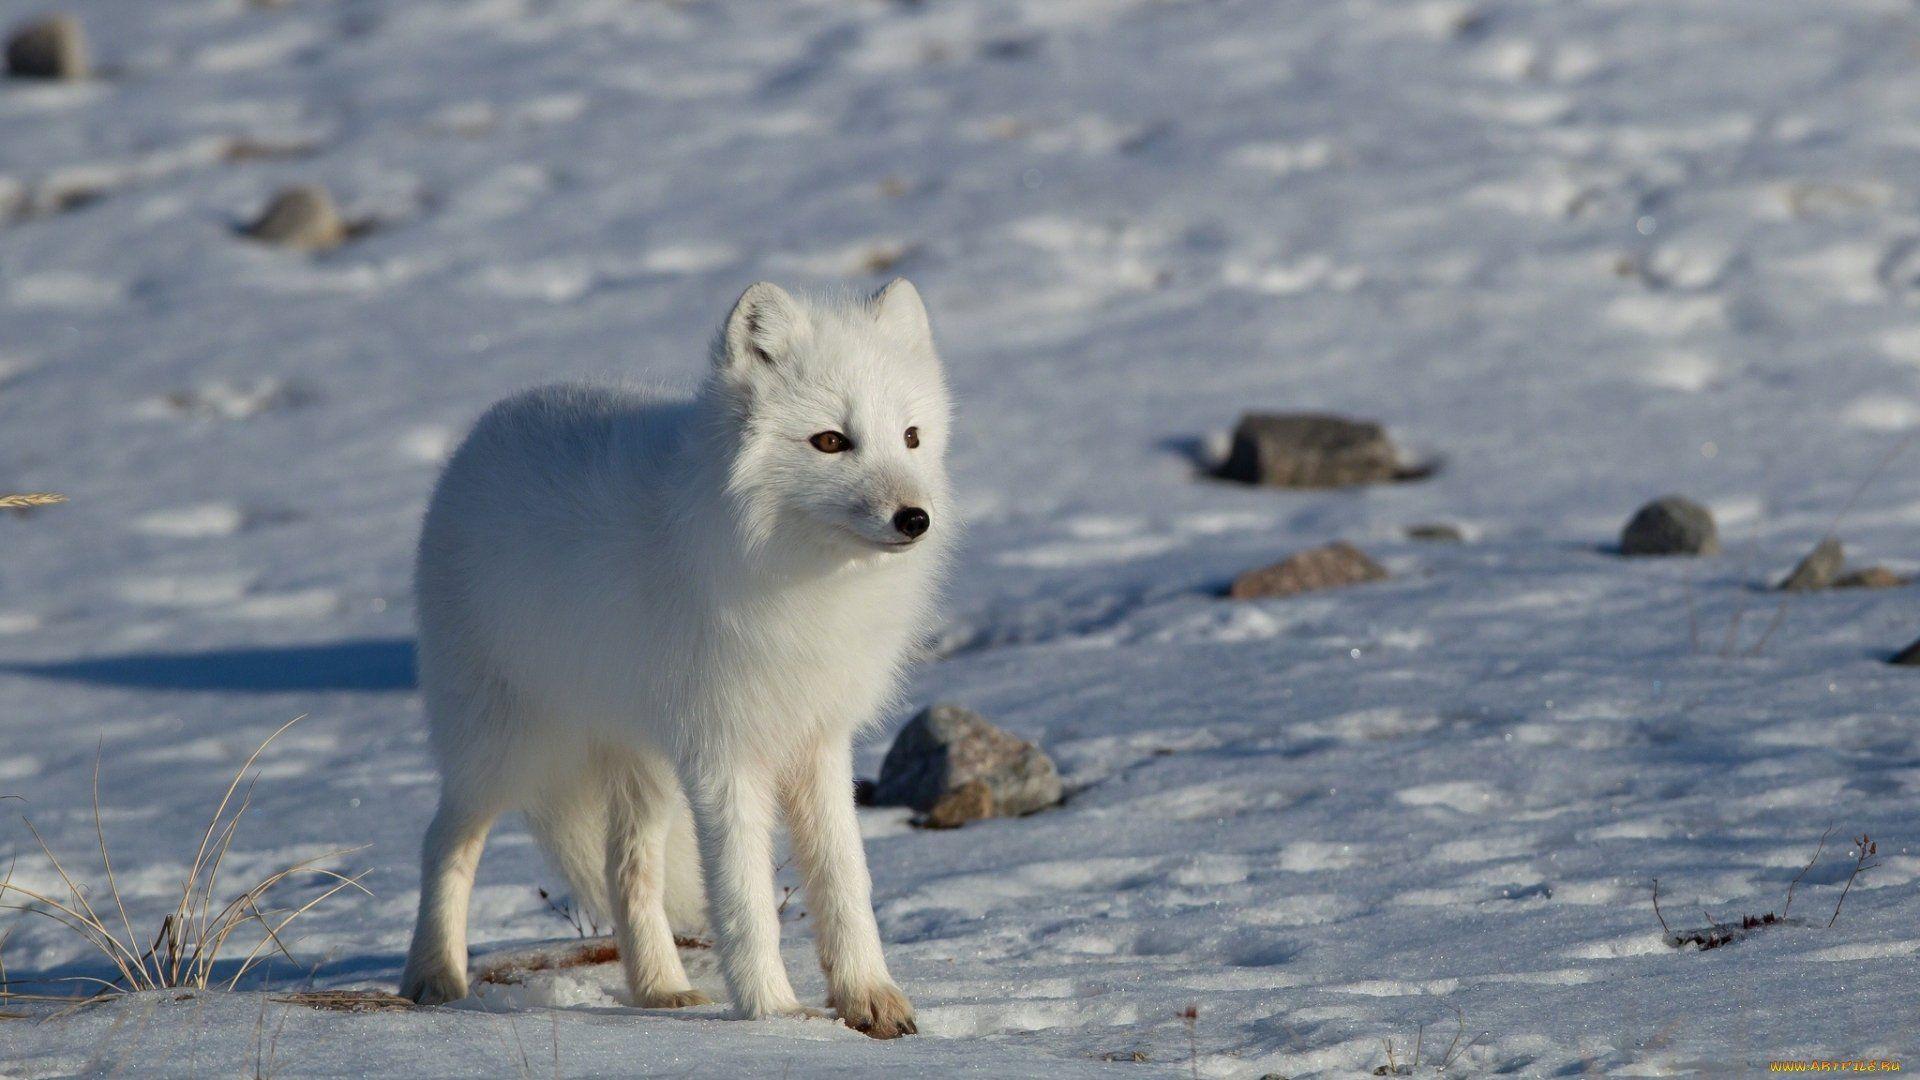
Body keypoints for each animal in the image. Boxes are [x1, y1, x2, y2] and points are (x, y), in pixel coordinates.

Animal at [398, 279, 951, 1040]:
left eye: (911, 437)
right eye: (831, 441)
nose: (915, 519)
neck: (797, 576)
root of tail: (481, 434)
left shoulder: (817, 738)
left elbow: (845, 881)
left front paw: (871, 999)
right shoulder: (723, 753)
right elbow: (745, 899)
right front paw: (774, 1014)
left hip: (643, 762)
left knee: (625, 869)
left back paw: (660, 987)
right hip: (507, 747)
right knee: (442, 842)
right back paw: (433, 976)